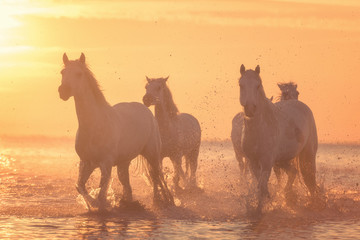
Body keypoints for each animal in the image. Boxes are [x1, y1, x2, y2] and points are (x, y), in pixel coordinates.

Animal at [58, 52, 174, 210]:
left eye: (79, 73)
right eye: (62, 72)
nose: (63, 91)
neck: (94, 125)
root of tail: (146, 110)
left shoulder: (106, 164)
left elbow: (101, 193)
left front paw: (101, 204)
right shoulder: (86, 163)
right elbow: (80, 186)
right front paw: (91, 204)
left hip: (153, 155)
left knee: (157, 176)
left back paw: (166, 200)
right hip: (123, 163)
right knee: (128, 185)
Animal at [239, 64, 318, 213]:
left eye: (258, 85)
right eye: (241, 84)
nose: (250, 109)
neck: (259, 128)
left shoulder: (267, 162)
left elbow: (261, 186)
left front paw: (260, 209)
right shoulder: (253, 162)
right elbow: (261, 185)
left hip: (307, 156)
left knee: (309, 179)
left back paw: (314, 203)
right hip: (282, 160)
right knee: (293, 172)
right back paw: (289, 196)